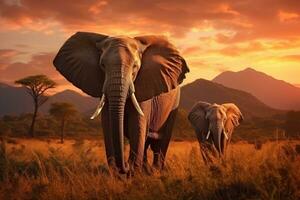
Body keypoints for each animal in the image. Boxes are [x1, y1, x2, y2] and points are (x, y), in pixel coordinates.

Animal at [52, 31, 189, 173]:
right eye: (102, 65)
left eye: (135, 66)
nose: (126, 165)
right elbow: (108, 125)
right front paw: (116, 172)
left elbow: (137, 125)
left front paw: (133, 172)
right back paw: (146, 170)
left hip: (174, 104)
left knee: (160, 143)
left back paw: (155, 171)